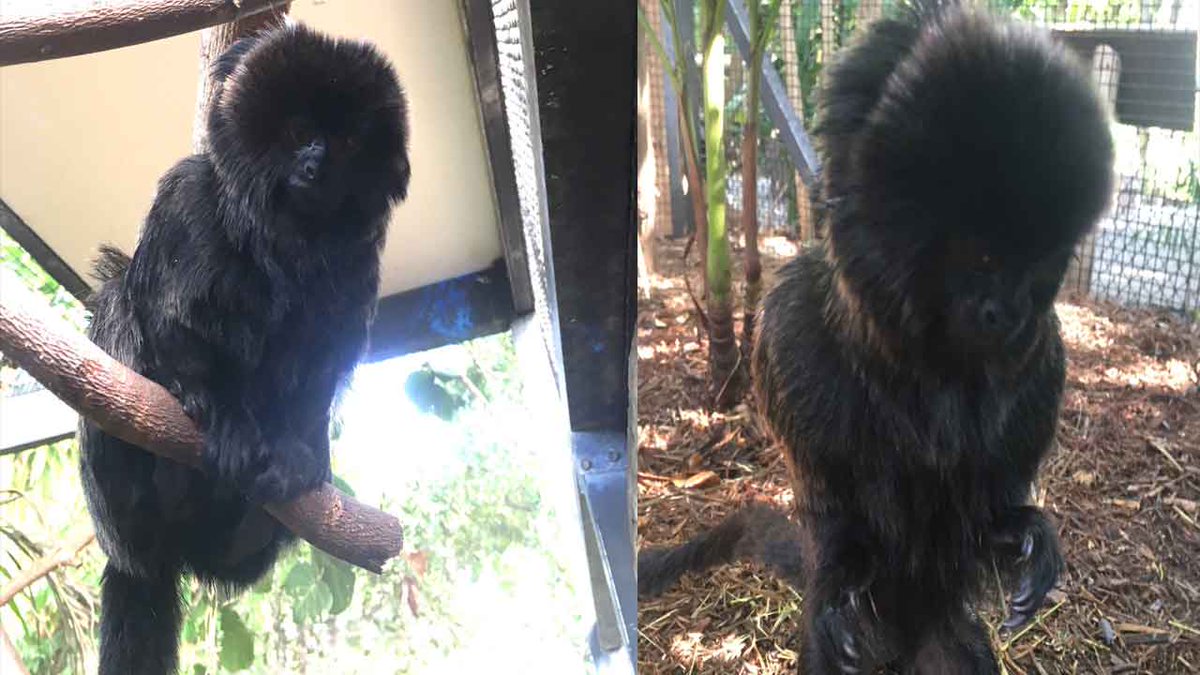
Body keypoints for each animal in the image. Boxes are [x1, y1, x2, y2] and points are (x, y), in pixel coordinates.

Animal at [79, 24, 409, 674]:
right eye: (299, 132)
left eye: (347, 140)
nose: (314, 164)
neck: (288, 236)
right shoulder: (187, 196)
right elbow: (170, 319)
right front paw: (222, 413)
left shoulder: (360, 264)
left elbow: (319, 374)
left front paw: (298, 452)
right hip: (113, 506)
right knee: (114, 299)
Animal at [638, 3, 1114, 672]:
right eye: (983, 258)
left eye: (1041, 263)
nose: (1012, 311)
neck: (925, 372)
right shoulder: (788, 338)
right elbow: (832, 514)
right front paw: (842, 574)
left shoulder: (1044, 367)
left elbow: (988, 512)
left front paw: (1020, 529)